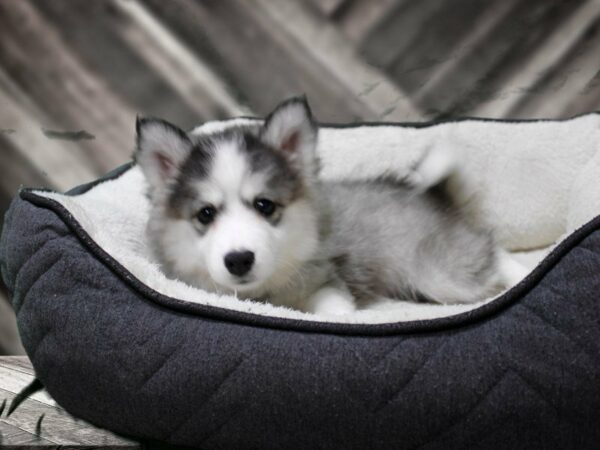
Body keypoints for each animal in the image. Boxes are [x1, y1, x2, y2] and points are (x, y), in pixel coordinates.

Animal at [135, 96, 524, 314]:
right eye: (206, 214)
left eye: (265, 205)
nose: (239, 259)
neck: (264, 294)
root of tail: (431, 195)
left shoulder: (327, 279)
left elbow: (335, 312)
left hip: (441, 272)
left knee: (490, 254)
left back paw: (520, 274)